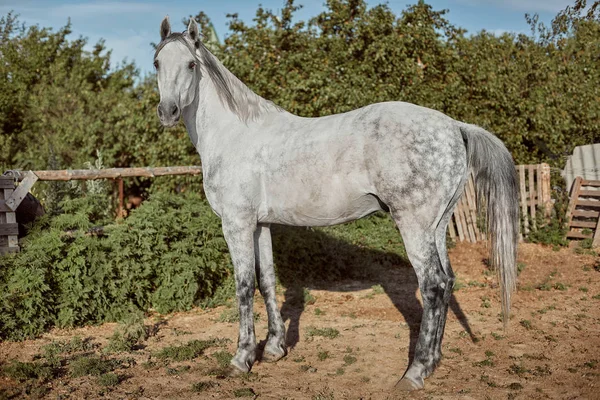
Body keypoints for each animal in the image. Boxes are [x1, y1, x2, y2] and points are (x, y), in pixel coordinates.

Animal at [155, 17, 520, 392]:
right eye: (157, 63)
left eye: (191, 64)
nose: (167, 112)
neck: (235, 135)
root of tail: (454, 126)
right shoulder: (260, 225)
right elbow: (267, 280)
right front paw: (274, 349)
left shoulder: (236, 224)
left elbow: (244, 287)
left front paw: (242, 359)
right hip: (437, 226)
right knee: (447, 283)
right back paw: (432, 362)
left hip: (414, 225)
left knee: (432, 286)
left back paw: (414, 372)